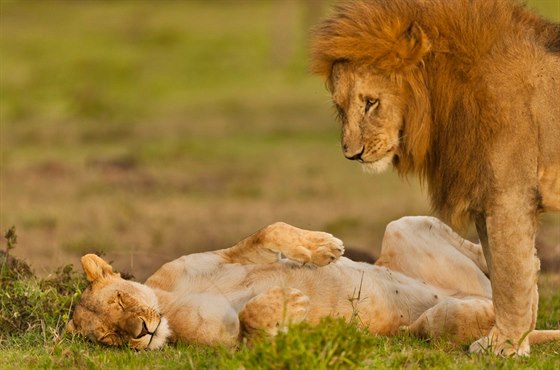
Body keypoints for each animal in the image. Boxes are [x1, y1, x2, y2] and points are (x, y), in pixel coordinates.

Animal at [66, 218, 560, 352]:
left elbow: (269, 232)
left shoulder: (235, 254)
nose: (141, 332)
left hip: (400, 227)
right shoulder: (226, 344)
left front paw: (324, 248)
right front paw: (289, 303)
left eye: (123, 298)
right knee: (485, 321)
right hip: (438, 324)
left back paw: (530, 262)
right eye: (109, 336)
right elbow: (250, 324)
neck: (169, 302)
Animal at [310, 0, 560, 356]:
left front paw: (506, 347)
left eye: (371, 103)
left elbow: (510, 276)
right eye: (340, 106)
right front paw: (512, 341)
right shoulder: (486, 199)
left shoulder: (509, 194)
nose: (352, 154)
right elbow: (501, 274)